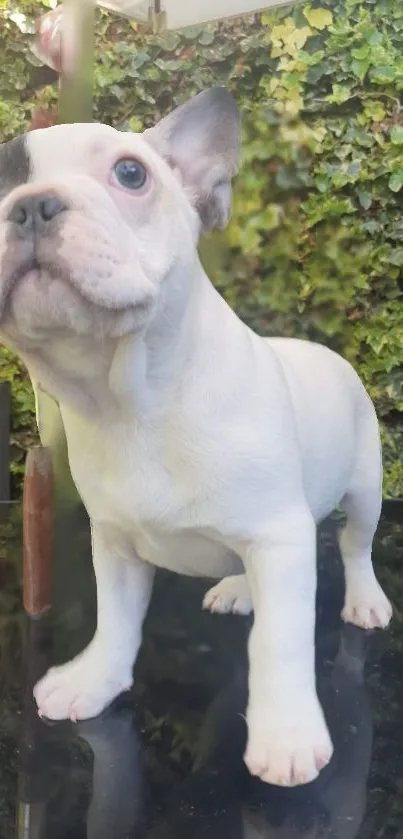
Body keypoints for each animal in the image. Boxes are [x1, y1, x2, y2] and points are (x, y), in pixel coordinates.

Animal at [0, 90, 392, 788]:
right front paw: (94, 681)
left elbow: (280, 641)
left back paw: (365, 598)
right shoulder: (116, 543)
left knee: (355, 546)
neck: (133, 402)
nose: (31, 204)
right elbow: (116, 621)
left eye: (131, 174)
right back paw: (239, 588)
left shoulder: (282, 536)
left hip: (365, 485)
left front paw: (286, 735)